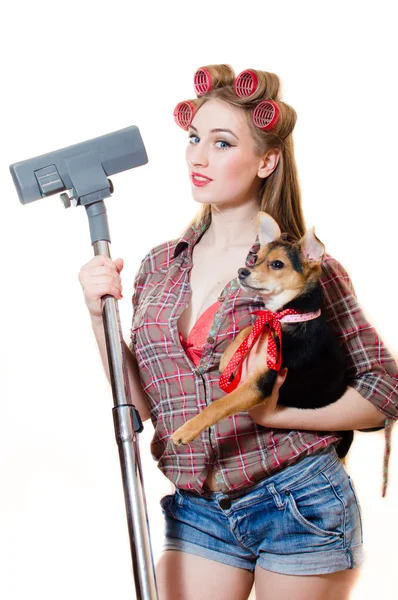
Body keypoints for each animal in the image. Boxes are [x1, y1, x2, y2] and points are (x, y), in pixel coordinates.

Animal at [171, 212, 352, 460]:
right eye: (256, 258)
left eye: (277, 264)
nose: (242, 271)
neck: (287, 316)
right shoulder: (266, 321)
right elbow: (251, 326)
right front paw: (228, 357)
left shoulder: (259, 385)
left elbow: (218, 406)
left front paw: (186, 430)